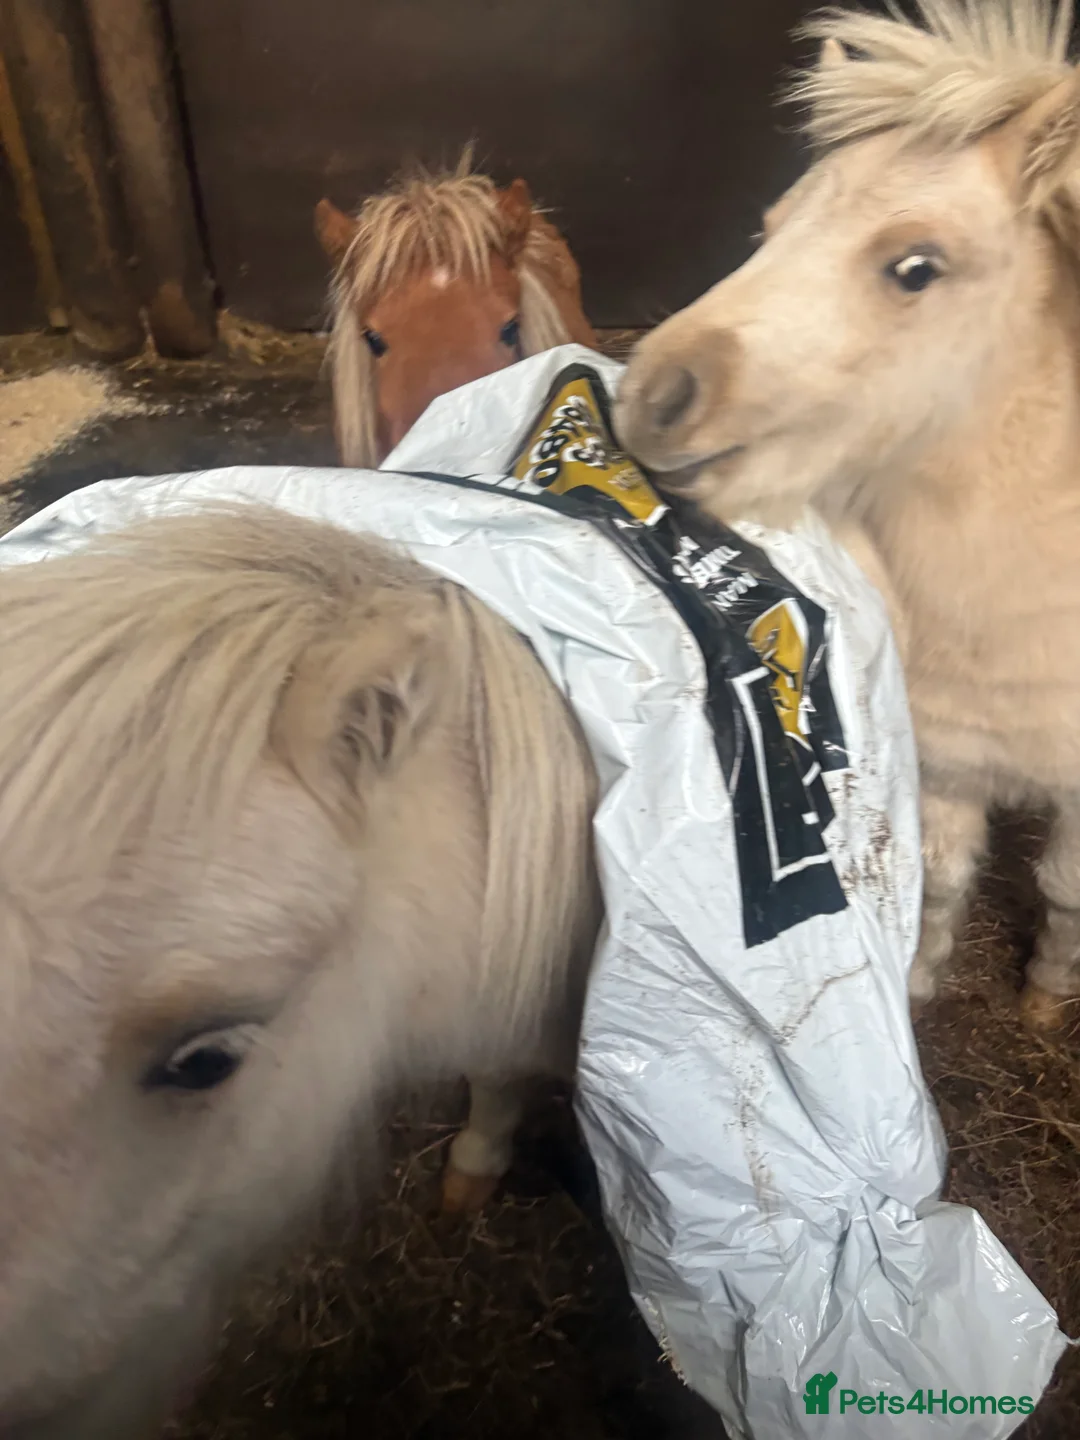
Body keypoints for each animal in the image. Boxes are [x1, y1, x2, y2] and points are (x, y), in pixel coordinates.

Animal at [615, 0, 1080, 1033]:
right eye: (769, 228)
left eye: (916, 267)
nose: (654, 398)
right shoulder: (948, 759)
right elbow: (937, 880)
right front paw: (916, 991)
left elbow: (1065, 892)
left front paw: (1045, 996)